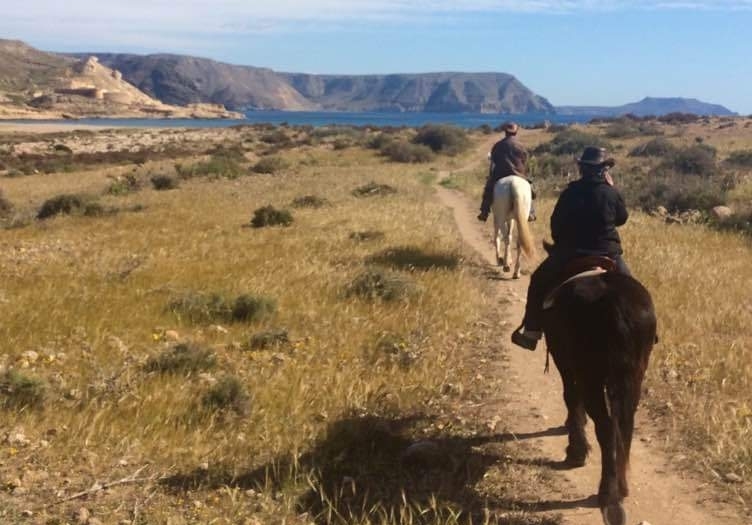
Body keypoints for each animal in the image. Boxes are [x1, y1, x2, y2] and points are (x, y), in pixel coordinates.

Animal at [544, 260, 656, 520]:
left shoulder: (564, 363)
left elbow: (571, 398)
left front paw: (576, 450)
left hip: (591, 376)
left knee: (605, 428)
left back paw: (607, 493)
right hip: (633, 377)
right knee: (624, 425)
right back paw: (621, 487)